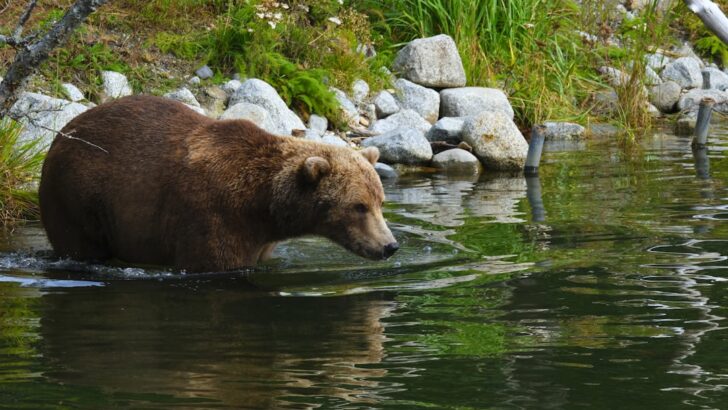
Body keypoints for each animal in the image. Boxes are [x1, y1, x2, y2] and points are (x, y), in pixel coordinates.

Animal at [38, 95, 399, 272]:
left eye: (380, 202)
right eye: (358, 206)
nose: (389, 246)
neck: (263, 206)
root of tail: (62, 134)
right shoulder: (215, 219)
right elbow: (213, 261)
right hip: (78, 195)